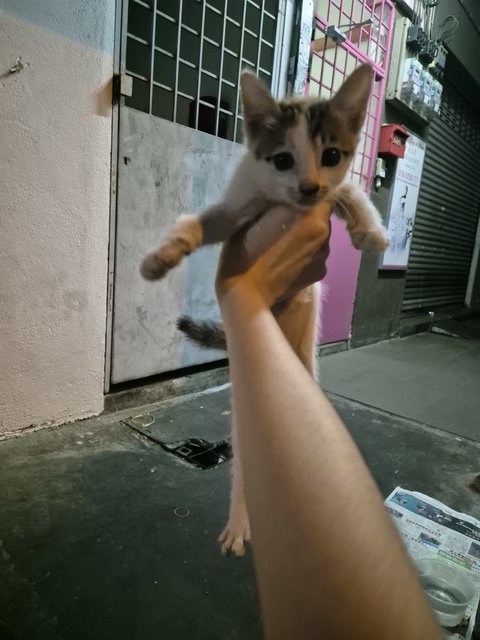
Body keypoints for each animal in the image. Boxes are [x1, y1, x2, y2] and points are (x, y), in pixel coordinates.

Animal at [141, 65, 388, 556]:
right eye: (282, 160)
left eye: (331, 154)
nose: (310, 186)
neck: (284, 202)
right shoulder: (237, 207)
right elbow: (199, 221)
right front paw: (161, 257)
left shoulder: (332, 189)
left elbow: (352, 192)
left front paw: (371, 233)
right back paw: (239, 525)